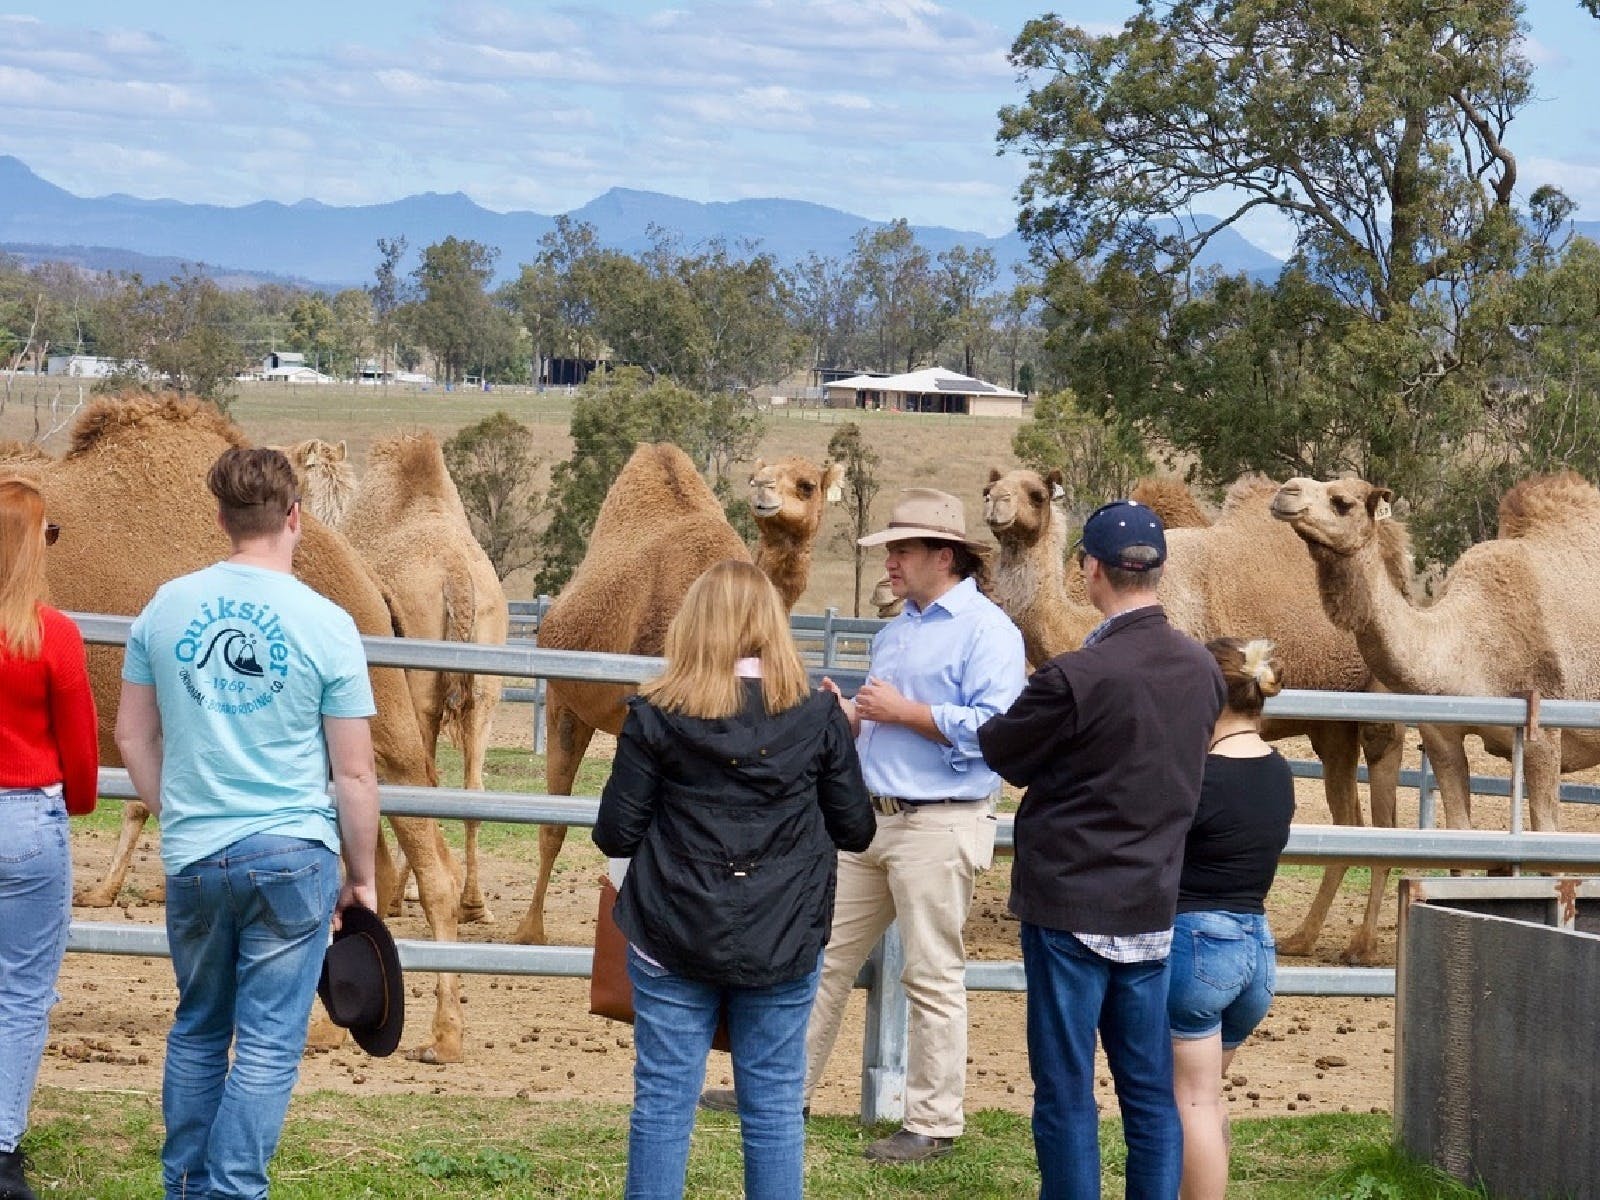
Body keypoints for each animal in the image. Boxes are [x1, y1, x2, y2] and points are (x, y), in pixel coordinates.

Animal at [291, 438, 508, 928]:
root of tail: (457, 573)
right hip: (486, 684)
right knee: (472, 786)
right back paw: (475, 904)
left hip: (419, 686)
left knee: (422, 780)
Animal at [512, 444, 844, 947]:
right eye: (758, 475)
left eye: (807, 484)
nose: (763, 490)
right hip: (564, 700)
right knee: (553, 820)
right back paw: (528, 931)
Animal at [979, 470, 1408, 966]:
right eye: (991, 488)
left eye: (1036, 493)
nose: (996, 504)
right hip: (1333, 728)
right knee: (1346, 819)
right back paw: (1302, 938)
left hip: (1379, 710)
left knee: (1385, 819)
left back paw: (1362, 945)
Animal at [1280, 470, 1600, 838]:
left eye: (1342, 502)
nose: (1285, 491)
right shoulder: (1440, 736)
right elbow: (1457, 829)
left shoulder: (1544, 734)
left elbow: (1546, 834)